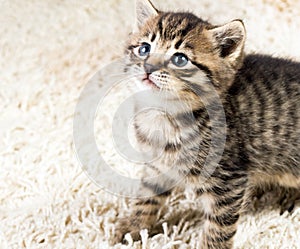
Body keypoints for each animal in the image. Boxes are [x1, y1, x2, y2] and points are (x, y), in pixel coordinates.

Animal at [111, 0, 298, 248]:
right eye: (144, 49)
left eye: (180, 59)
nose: (148, 67)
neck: (164, 117)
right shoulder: (156, 165)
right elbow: (147, 196)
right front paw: (133, 226)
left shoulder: (229, 180)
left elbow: (219, 226)